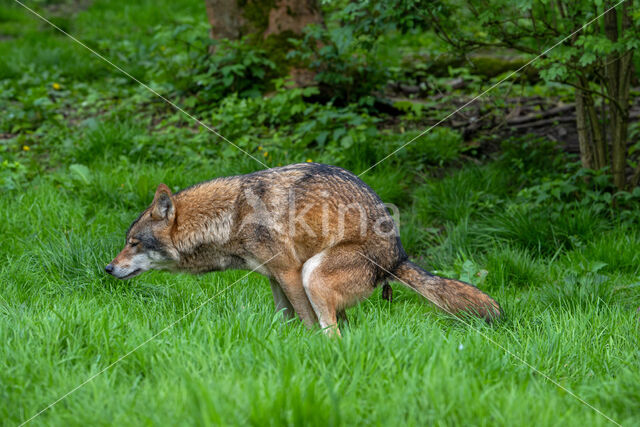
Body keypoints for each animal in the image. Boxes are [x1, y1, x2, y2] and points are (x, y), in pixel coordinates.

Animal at [107, 163, 502, 334]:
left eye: (133, 243)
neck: (231, 215)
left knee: (334, 333)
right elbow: (286, 319)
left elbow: (308, 323)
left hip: (314, 274)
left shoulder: (290, 272)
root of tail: (398, 255)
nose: (108, 268)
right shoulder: (273, 277)